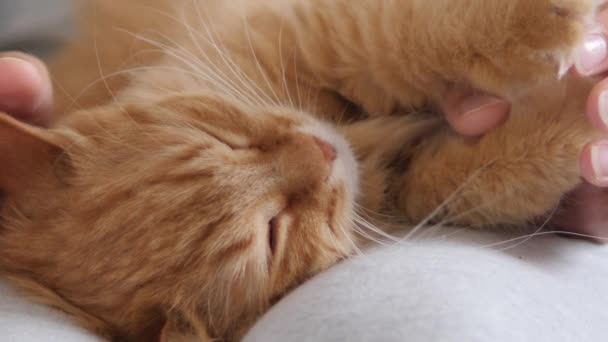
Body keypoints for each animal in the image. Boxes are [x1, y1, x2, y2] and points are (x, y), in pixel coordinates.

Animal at [0, 0, 600, 340]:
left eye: (225, 142)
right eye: (273, 233)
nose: (322, 150)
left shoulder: (313, 33)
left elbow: (400, 37)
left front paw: (542, 22)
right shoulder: (414, 182)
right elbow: (494, 171)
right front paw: (585, 113)